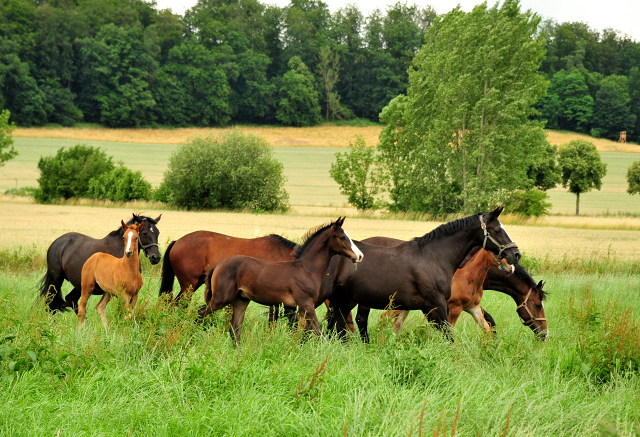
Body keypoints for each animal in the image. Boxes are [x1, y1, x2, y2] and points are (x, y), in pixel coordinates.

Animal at [198, 218, 362, 344]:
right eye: (342, 237)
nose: (360, 256)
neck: (307, 269)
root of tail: (218, 265)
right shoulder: (307, 304)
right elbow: (318, 332)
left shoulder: (301, 309)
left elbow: (301, 332)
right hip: (221, 299)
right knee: (200, 313)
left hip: (241, 300)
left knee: (234, 328)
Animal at [322, 208, 524, 340]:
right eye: (497, 230)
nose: (516, 254)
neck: (434, 257)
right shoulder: (437, 305)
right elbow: (449, 336)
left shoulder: (429, 308)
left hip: (343, 301)